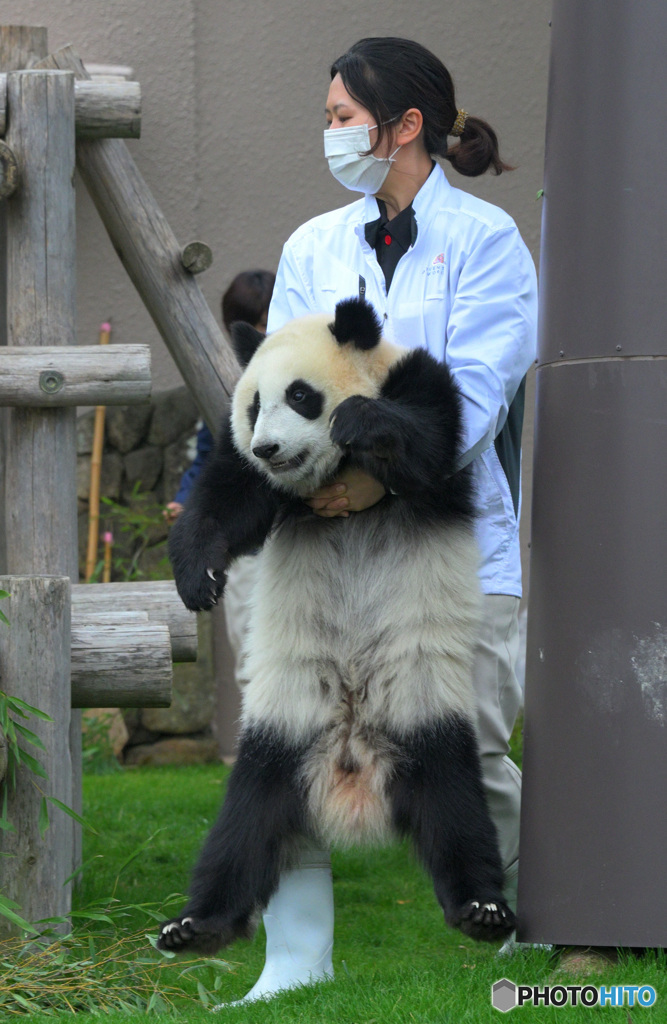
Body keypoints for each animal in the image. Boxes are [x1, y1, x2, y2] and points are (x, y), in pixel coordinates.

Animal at [157, 299, 516, 958]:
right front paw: (199, 580)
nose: (269, 448)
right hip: (278, 735)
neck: (330, 473)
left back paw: (481, 908)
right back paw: (197, 924)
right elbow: (225, 499)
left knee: (457, 811)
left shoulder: (422, 385)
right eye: (254, 406)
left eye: (301, 396)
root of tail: (352, 769)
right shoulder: (246, 469)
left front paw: (358, 418)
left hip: (427, 718)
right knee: (243, 826)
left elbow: (430, 444)